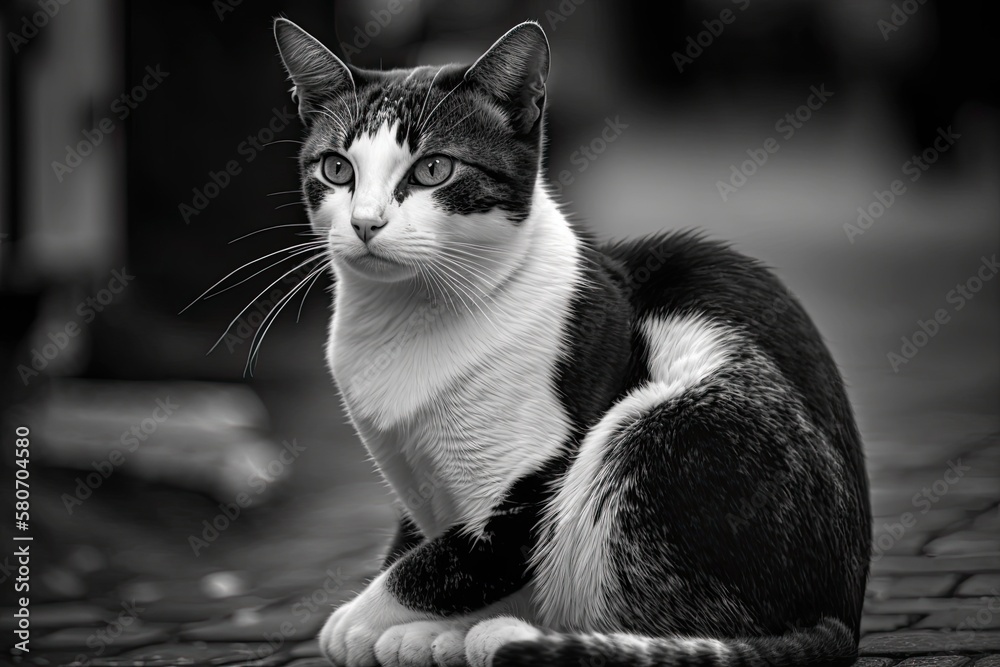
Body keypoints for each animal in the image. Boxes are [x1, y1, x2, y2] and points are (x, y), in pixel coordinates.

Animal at [272, 15, 868, 667]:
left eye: (433, 170)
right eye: (336, 169)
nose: (365, 222)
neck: (407, 318)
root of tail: (841, 613)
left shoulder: (532, 489)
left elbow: (446, 564)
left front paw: (355, 623)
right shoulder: (415, 487)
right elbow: (425, 554)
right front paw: (421, 629)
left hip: (664, 423)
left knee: (678, 623)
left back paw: (505, 638)